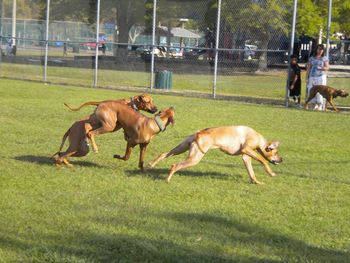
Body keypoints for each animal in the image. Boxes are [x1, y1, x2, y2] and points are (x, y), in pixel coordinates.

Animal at [147, 126, 282, 186]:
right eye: (276, 153)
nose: (282, 159)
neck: (259, 139)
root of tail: (199, 133)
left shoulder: (246, 156)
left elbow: (251, 173)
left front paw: (256, 182)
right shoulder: (247, 149)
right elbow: (263, 161)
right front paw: (271, 173)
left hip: (181, 148)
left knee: (163, 154)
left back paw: (151, 165)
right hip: (195, 158)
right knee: (175, 165)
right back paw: (168, 179)